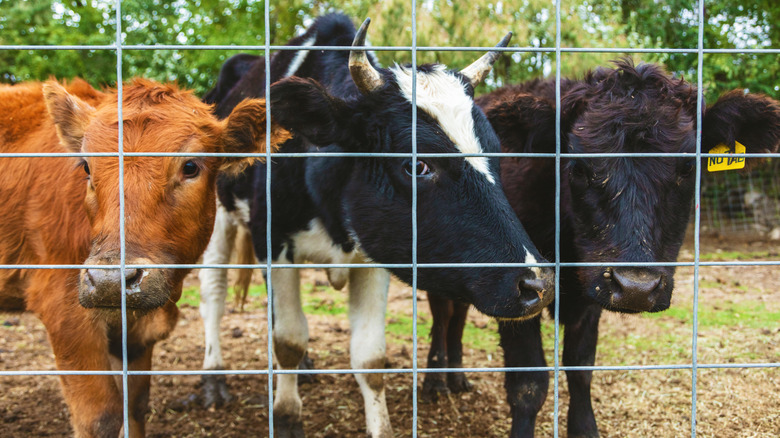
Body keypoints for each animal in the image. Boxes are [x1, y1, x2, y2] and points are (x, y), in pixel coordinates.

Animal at [0, 78, 288, 437]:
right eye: (86, 167)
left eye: (190, 166)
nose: (110, 281)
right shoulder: (63, 310)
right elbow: (101, 418)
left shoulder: (135, 334)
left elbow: (134, 407)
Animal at [195, 13, 556, 438]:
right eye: (417, 165)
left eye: (498, 154)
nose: (538, 284)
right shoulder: (274, 243)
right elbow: (288, 341)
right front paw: (286, 417)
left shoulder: (374, 255)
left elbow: (369, 358)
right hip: (217, 218)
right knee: (213, 293)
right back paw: (213, 379)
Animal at [420, 58, 780, 437]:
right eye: (578, 167)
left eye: (688, 167)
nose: (637, 288)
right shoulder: (517, 289)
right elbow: (528, 384)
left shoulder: (592, 291)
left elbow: (581, 369)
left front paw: (585, 428)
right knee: (442, 315)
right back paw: (435, 381)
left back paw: (457, 377)